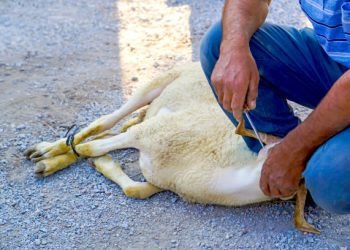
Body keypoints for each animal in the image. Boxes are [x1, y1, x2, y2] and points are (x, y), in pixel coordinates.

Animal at [24, 61, 320, 233]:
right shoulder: (151, 132)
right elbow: (91, 148)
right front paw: (93, 158)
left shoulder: (164, 180)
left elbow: (136, 190)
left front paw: (102, 163)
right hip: (157, 85)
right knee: (104, 122)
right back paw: (46, 153)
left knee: (114, 127)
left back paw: (48, 160)